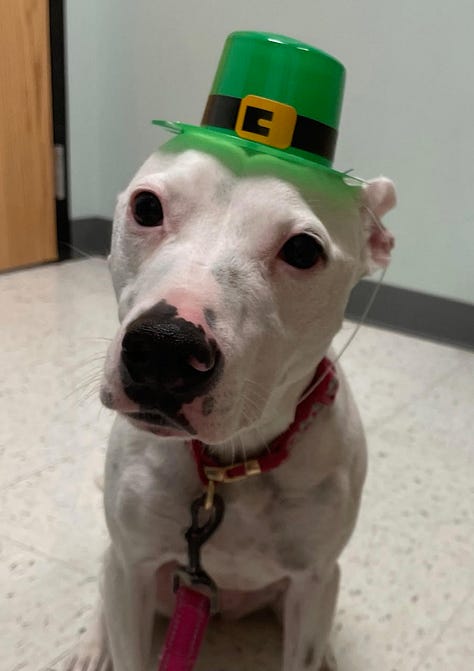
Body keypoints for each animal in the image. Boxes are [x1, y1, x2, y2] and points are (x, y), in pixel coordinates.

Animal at [67, 136, 396, 671]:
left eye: (303, 250)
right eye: (146, 206)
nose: (165, 347)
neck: (230, 466)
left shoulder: (312, 582)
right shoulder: (133, 567)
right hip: (127, 573)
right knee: (104, 591)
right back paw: (93, 646)